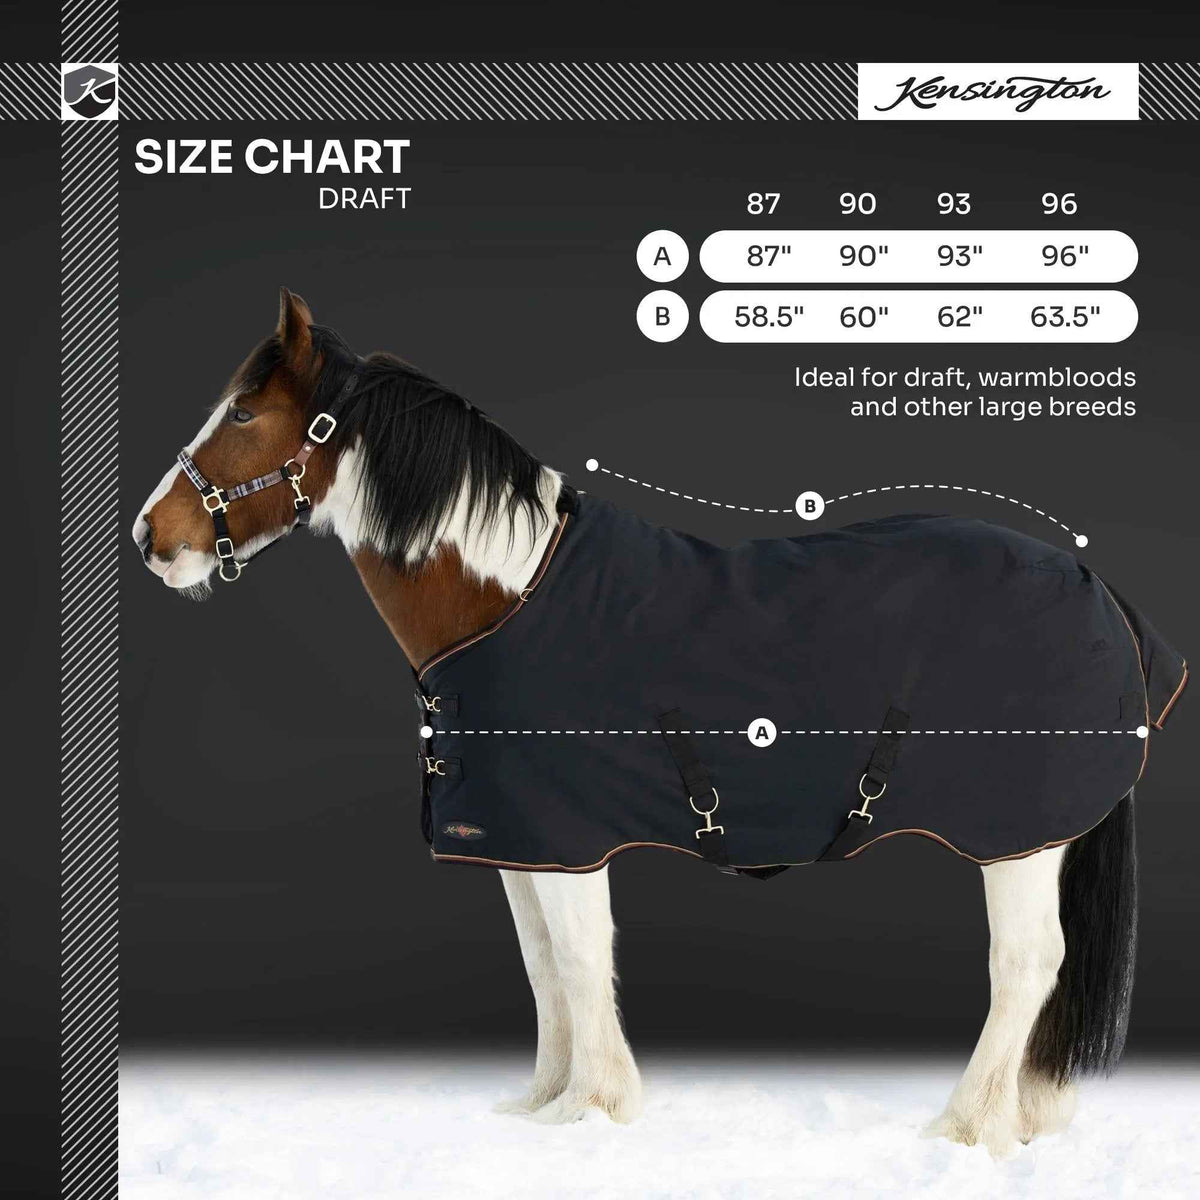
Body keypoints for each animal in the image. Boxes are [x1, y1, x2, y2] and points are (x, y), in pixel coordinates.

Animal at [133, 289, 1184, 1156]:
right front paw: (543, 1103)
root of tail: (1094, 585)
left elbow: (578, 957)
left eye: (241, 413)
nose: (151, 539)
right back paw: (1020, 1116)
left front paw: (593, 1109)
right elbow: (543, 966)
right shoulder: (520, 840)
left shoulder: (569, 841)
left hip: (1017, 839)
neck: (511, 598)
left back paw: (965, 1128)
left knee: (1027, 964)